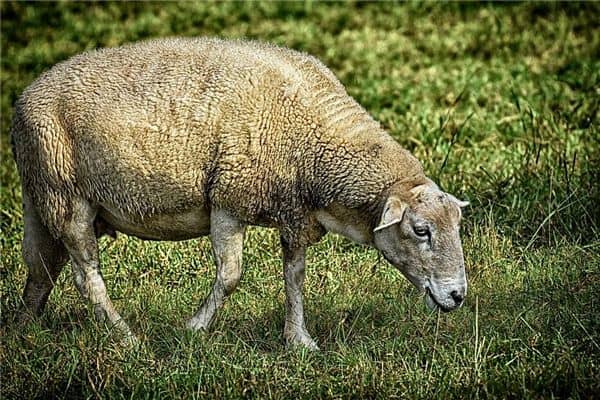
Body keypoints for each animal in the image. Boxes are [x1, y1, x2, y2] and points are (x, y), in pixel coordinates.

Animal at [10, 38, 468, 350]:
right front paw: (194, 329)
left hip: (40, 197)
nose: (458, 295)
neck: (315, 144)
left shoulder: (294, 212)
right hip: (65, 197)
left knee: (41, 269)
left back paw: (25, 332)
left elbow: (295, 277)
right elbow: (231, 276)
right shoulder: (229, 199)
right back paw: (127, 338)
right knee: (86, 277)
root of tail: (23, 101)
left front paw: (298, 340)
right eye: (421, 230)